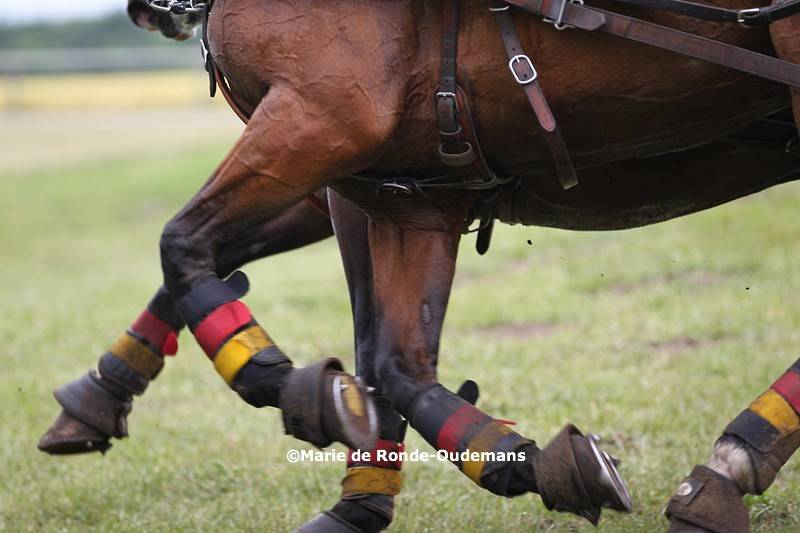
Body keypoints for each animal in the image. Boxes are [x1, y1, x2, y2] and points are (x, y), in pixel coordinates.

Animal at [40, 0, 800, 528]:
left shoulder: (324, 123)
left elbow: (185, 247)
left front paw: (286, 384)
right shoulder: (404, 196)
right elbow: (397, 362)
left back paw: (732, 460)